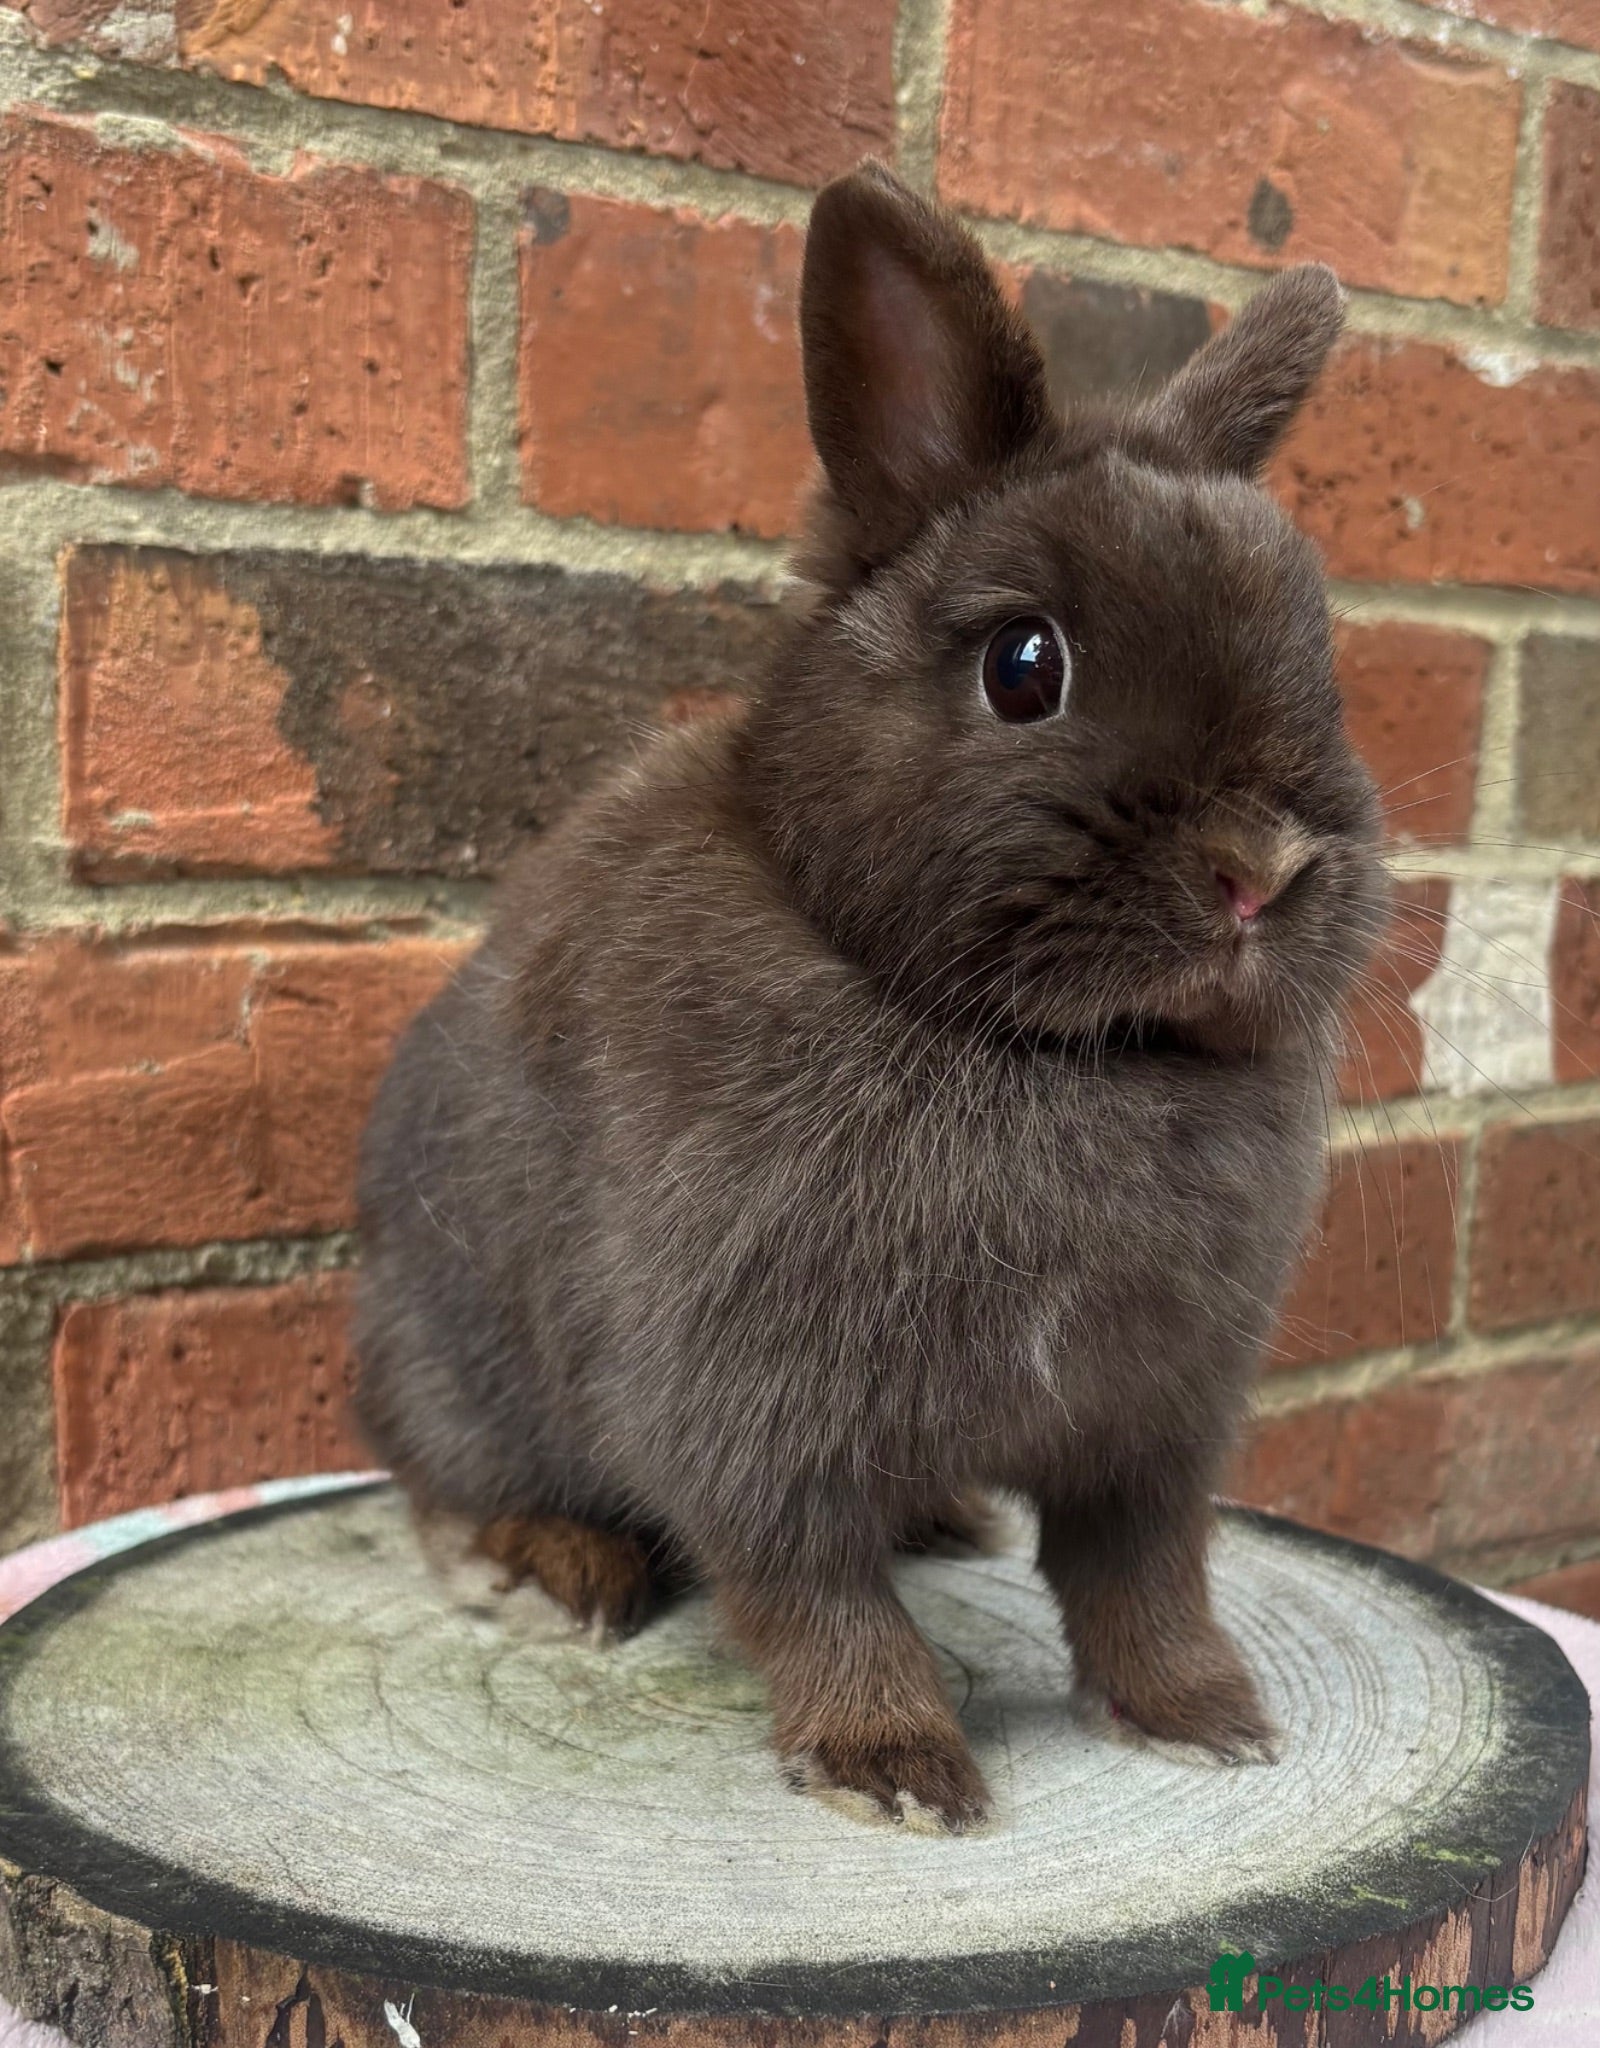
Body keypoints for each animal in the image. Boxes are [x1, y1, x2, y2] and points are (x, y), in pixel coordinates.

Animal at [353, 159, 1386, 1833]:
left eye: (1323, 659)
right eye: (1026, 666)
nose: (1263, 868)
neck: (1048, 1052)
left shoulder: (1154, 1428)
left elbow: (1143, 1579)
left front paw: (1206, 1720)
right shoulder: (745, 1408)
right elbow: (812, 1593)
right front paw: (894, 1771)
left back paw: (950, 1519)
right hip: (447, 1362)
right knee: (445, 1484)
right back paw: (547, 1574)